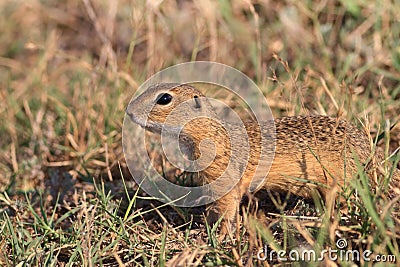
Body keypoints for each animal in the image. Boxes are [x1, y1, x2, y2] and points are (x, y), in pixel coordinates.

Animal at [127, 82, 400, 233]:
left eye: (164, 98)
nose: (128, 111)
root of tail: (373, 154)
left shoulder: (226, 182)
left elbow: (226, 211)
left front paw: (217, 236)